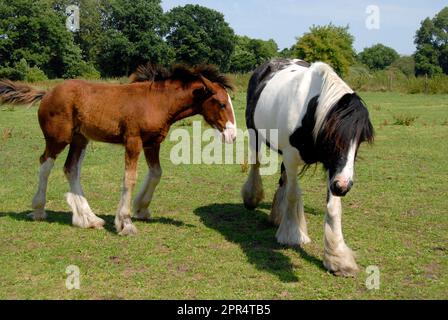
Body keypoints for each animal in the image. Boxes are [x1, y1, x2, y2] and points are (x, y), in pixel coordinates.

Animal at [0, 64, 238, 235]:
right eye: (221, 103)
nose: (232, 135)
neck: (157, 102)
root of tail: (47, 93)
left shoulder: (153, 143)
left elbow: (156, 173)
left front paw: (141, 208)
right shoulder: (133, 141)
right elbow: (129, 178)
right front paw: (125, 222)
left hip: (80, 139)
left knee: (70, 169)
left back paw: (88, 219)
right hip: (58, 138)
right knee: (45, 164)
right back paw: (39, 209)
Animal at [242, 58, 374, 276]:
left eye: (360, 140)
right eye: (333, 137)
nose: (343, 186)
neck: (310, 111)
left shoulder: (332, 168)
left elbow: (333, 207)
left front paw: (337, 258)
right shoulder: (292, 156)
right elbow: (293, 194)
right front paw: (292, 235)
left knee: (283, 179)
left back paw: (277, 216)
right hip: (255, 134)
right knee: (256, 165)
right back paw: (252, 198)